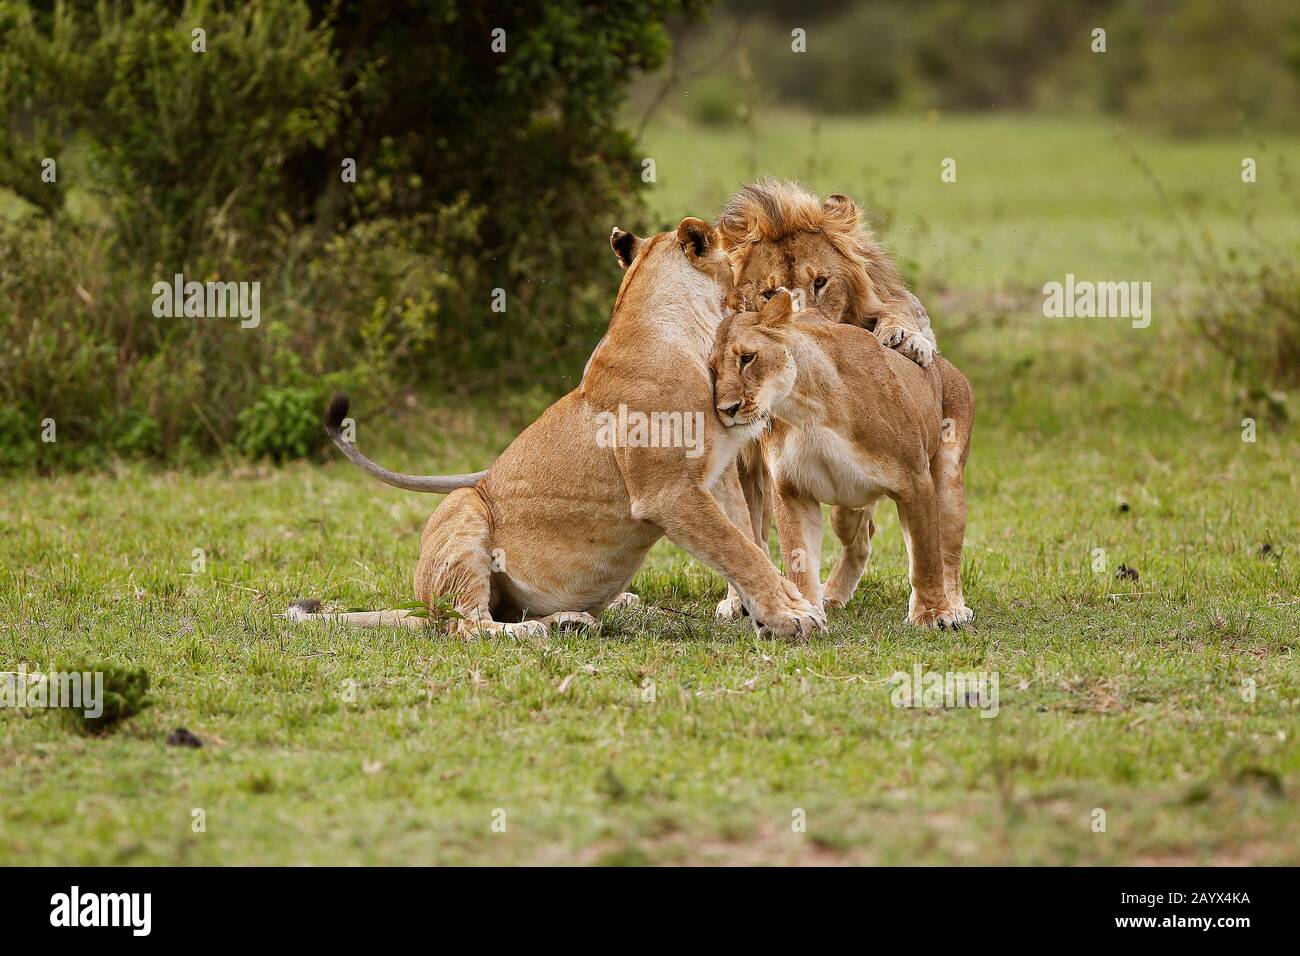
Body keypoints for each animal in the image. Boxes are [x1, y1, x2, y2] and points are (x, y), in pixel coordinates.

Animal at [287, 218, 826, 639]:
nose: (766, 295)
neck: (689, 334)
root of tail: (422, 606)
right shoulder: (667, 491)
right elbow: (739, 550)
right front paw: (793, 615)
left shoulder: (716, 478)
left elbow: (747, 543)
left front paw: (768, 610)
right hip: (463, 505)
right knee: (468, 626)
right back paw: (538, 630)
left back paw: (574, 618)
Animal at [709, 289, 974, 628]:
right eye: (713, 370)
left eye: (747, 358)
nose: (726, 409)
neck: (807, 410)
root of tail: (947, 366)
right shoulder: (793, 492)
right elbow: (799, 560)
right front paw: (806, 613)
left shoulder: (916, 483)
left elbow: (926, 556)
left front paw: (933, 614)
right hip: (845, 506)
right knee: (860, 538)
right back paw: (832, 595)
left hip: (948, 481)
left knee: (948, 553)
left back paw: (956, 607)